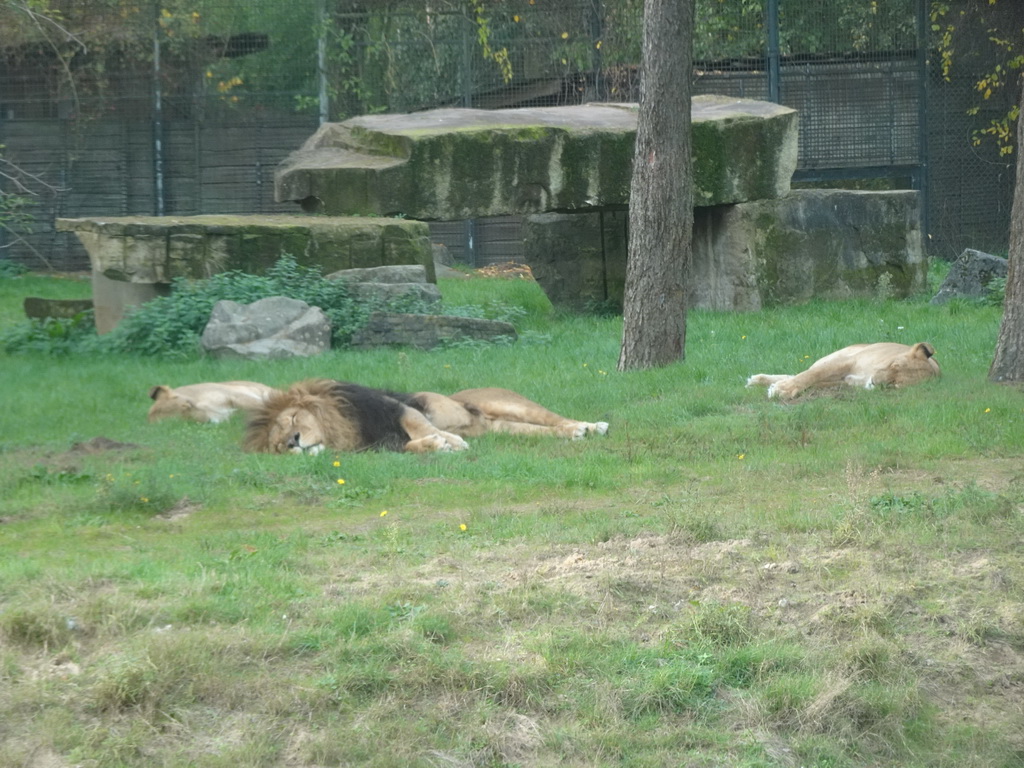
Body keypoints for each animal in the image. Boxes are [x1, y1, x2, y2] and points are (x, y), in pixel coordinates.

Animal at [745, 344, 937, 403]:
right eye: (894, 365)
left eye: (895, 384)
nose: (875, 382)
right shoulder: (846, 361)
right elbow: (811, 375)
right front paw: (782, 390)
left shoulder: (846, 381)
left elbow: (811, 379)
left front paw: (779, 388)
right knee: (804, 371)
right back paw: (757, 380)